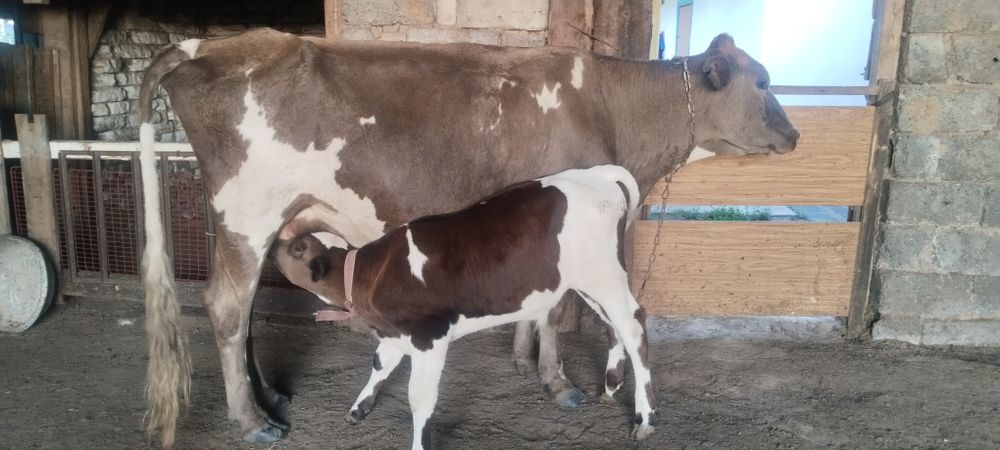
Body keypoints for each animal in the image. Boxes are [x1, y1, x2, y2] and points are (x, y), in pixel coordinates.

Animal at [271, 165, 650, 449]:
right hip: (588, 280)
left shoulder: (430, 336)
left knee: (633, 325)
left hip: (603, 275)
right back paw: (611, 385)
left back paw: (644, 419)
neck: (371, 274)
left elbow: (419, 398)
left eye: (298, 247)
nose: (276, 237)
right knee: (611, 325)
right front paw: (359, 408)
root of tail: (593, 174)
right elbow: (380, 364)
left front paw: (419, 443)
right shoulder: (396, 334)